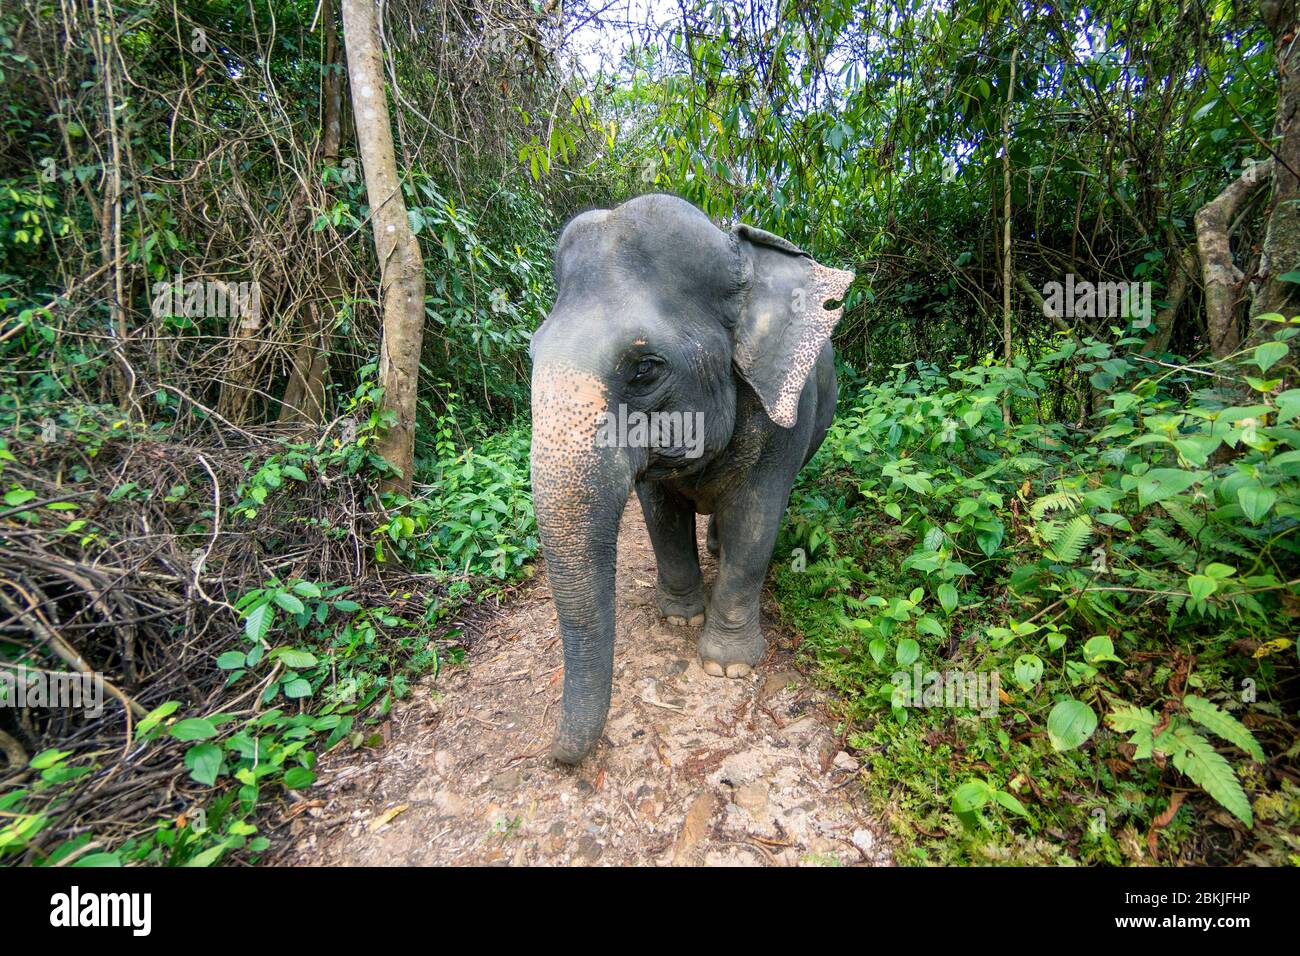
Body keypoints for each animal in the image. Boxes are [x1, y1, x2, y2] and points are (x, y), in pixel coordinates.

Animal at [527, 192, 852, 764]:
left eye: (644, 369)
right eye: (531, 353)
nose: (556, 754)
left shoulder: (783, 420)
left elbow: (756, 520)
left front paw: (728, 667)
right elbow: (660, 515)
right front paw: (680, 620)